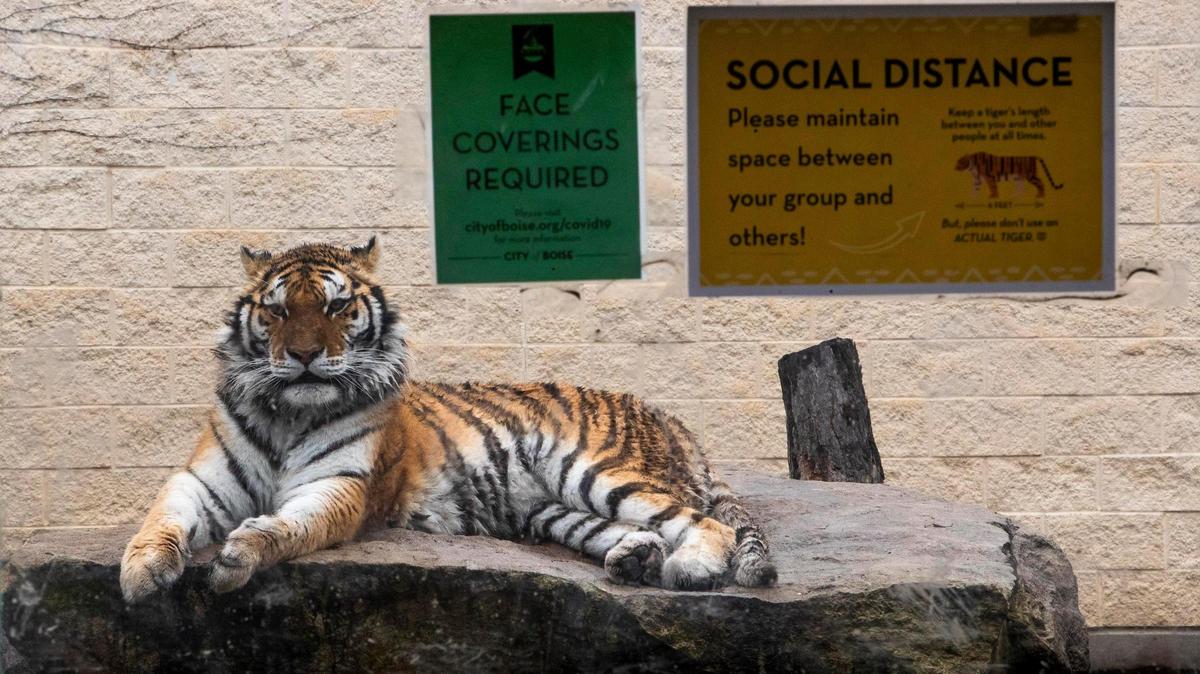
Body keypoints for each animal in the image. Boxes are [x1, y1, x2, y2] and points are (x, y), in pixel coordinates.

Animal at [119, 238, 776, 603]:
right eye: (278, 311)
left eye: (336, 305)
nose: (303, 355)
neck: (289, 412)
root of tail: (672, 419)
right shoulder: (202, 480)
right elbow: (161, 515)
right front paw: (140, 571)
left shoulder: (338, 488)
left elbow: (290, 527)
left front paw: (240, 553)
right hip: (553, 509)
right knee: (640, 531)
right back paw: (635, 560)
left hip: (596, 470)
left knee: (705, 526)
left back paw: (688, 570)